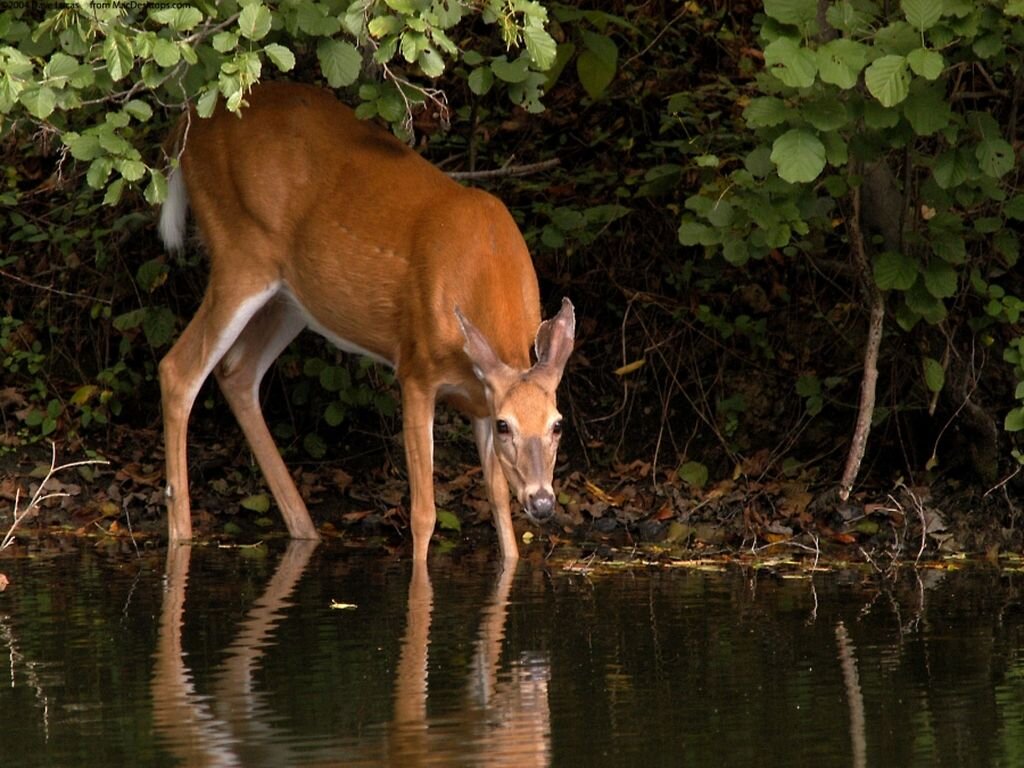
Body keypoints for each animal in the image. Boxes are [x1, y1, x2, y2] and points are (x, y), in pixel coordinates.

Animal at [159, 81, 577, 561]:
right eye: (507, 424)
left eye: (558, 424)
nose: (543, 501)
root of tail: (186, 121)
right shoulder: (416, 370)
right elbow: (424, 514)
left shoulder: (480, 396)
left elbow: (500, 509)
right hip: (239, 255)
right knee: (178, 370)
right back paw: (180, 537)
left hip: (290, 299)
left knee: (237, 372)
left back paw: (305, 530)